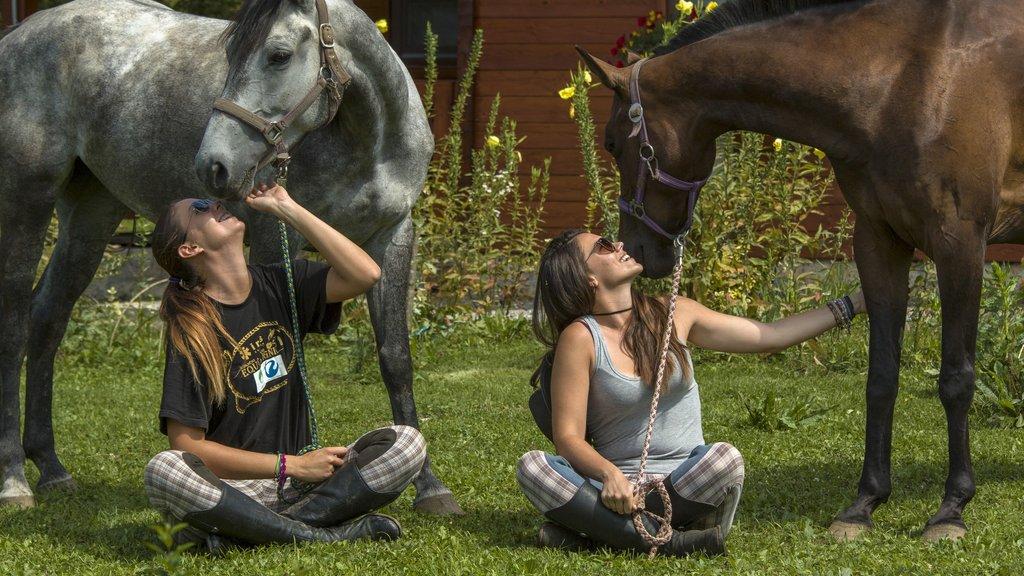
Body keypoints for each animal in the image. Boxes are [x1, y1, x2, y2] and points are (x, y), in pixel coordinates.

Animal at [0, 0, 462, 516]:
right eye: (231, 54)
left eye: (278, 56)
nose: (213, 166)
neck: (368, 139)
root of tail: (19, 34)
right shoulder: (273, 239)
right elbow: (291, 351)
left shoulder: (392, 236)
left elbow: (395, 359)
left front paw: (431, 487)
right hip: (27, 200)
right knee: (15, 324)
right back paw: (15, 479)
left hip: (90, 216)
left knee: (48, 319)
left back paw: (52, 468)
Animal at [579, 0, 1024, 542]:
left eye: (612, 142)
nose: (639, 250)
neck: (906, 78)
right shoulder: (878, 242)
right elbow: (881, 378)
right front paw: (864, 503)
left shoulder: (960, 244)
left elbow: (956, 379)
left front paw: (952, 507)